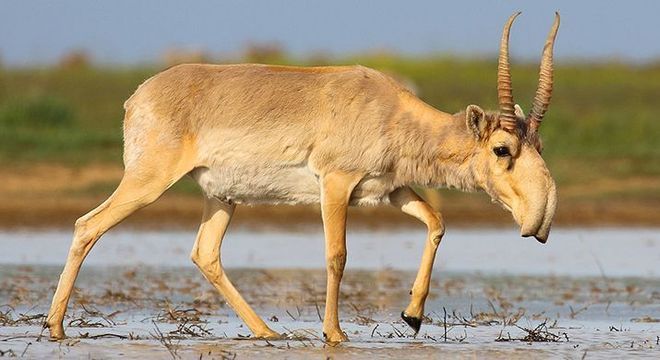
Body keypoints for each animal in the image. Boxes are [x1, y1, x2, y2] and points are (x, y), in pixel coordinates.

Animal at [46, 11, 560, 344]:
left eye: (539, 145)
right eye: (502, 149)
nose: (541, 220)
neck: (390, 110)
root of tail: (138, 97)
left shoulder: (390, 190)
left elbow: (437, 222)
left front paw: (412, 316)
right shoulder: (335, 184)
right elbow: (337, 255)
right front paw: (335, 334)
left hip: (222, 198)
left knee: (205, 254)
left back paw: (266, 332)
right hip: (148, 182)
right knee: (88, 225)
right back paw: (54, 326)